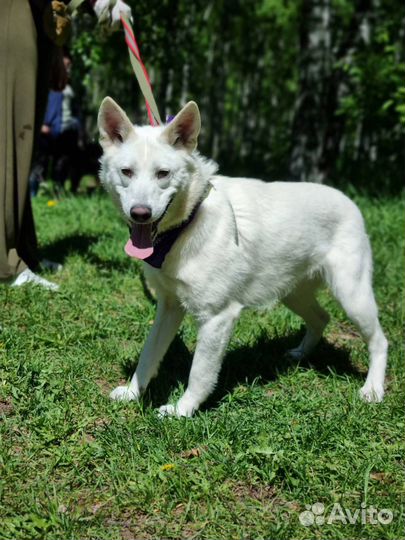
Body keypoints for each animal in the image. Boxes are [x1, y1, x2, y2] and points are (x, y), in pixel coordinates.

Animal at [96, 98, 386, 418]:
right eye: (127, 172)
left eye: (163, 174)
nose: (140, 213)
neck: (189, 221)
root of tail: (349, 201)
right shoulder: (169, 307)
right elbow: (149, 355)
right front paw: (133, 393)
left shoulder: (217, 318)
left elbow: (200, 374)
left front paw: (182, 411)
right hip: (292, 293)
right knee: (322, 318)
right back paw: (300, 354)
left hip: (352, 296)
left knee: (379, 341)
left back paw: (373, 389)